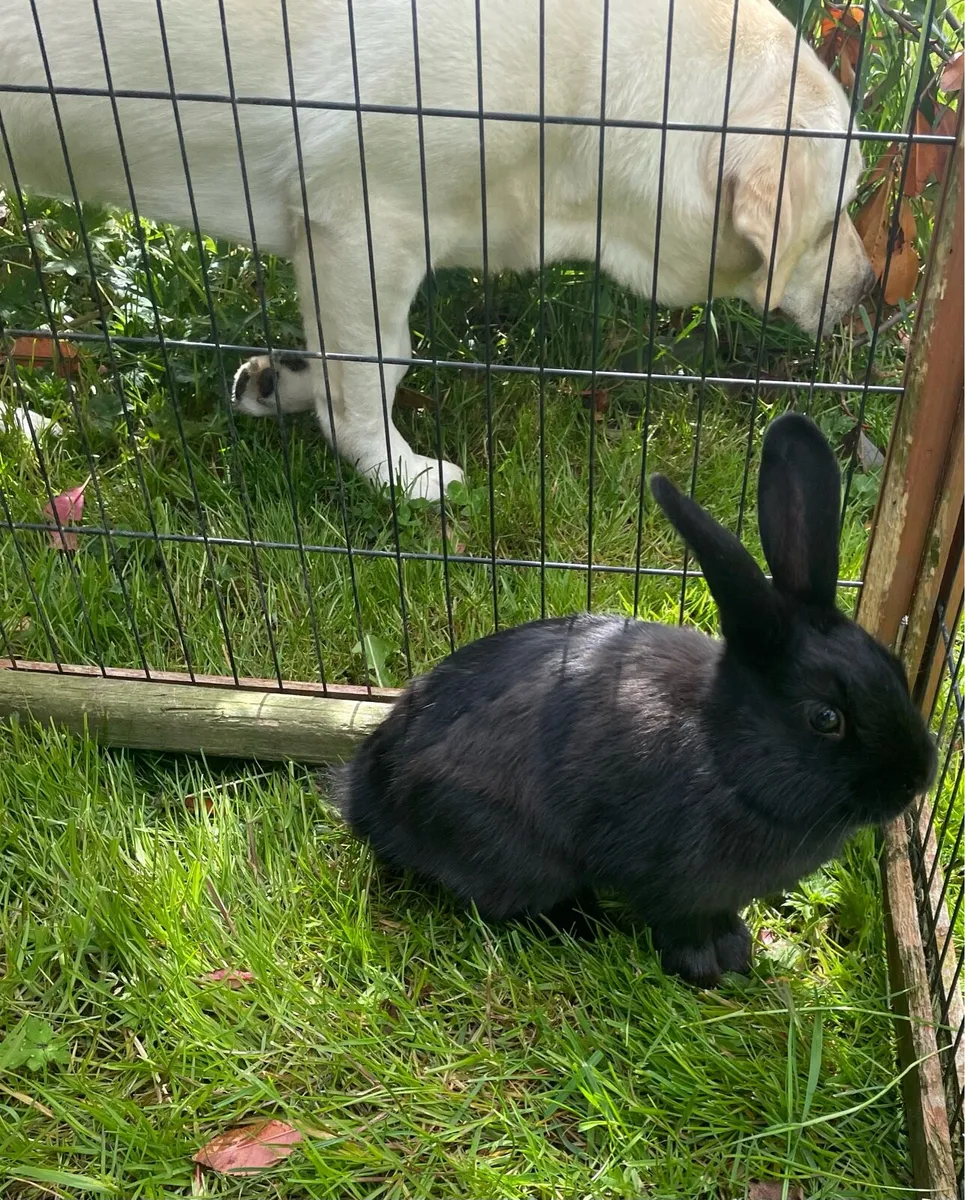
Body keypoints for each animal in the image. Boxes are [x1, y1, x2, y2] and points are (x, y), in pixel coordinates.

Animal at [333, 413, 936, 986]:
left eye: (894, 668)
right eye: (825, 718)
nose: (915, 781)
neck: (724, 758)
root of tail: (368, 797)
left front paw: (737, 951)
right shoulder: (673, 884)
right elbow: (681, 925)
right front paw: (707, 971)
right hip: (514, 853)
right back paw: (584, 926)